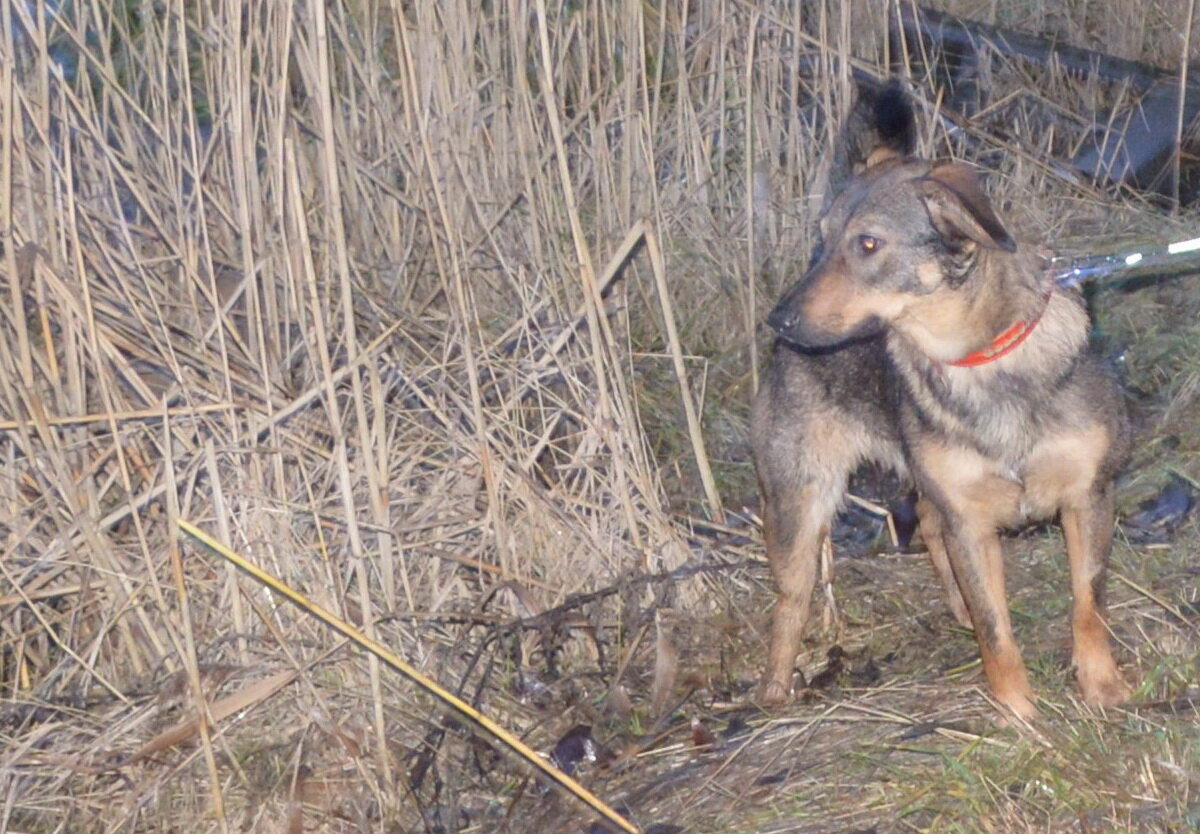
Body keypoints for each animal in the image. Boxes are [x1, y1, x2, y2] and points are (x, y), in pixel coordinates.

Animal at [753, 81, 1128, 720]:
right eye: (823, 241)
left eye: (869, 243)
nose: (778, 320)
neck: (980, 361)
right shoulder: (970, 523)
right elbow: (997, 631)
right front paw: (1017, 715)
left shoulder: (1087, 498)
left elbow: (1088, 603)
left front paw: (1101, 687)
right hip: (802, 500)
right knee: (791, 600)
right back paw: (776, 688)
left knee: (927, 525)